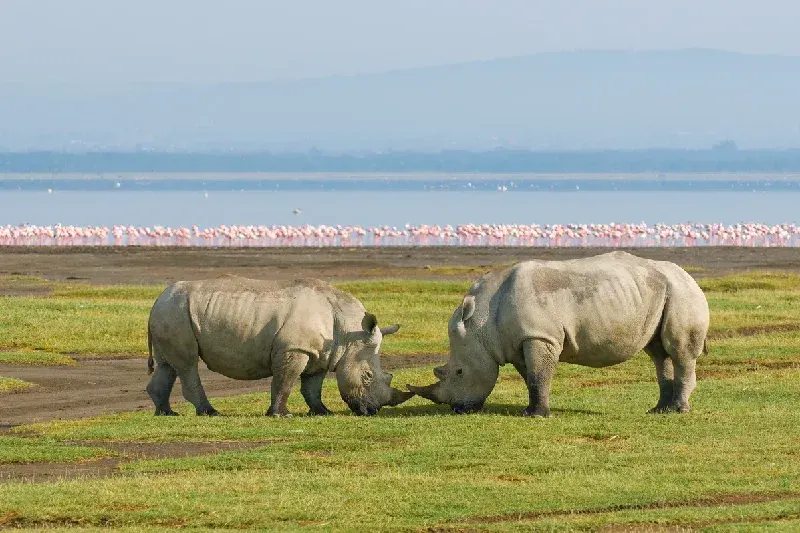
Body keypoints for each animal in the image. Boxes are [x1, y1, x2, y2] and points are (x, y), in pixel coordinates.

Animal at [146, 275, 413, 417]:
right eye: (368, 376)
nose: (373, 410)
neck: (348, 333)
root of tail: (157, 299)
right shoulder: (294, 349)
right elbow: (285, 382)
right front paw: (281, 415)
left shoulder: (320, 353)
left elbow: (312, 387)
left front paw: (322, 412)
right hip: (175, 312)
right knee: (187, 364)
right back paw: (210, 413)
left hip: (171, 312)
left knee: (167, 365)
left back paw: (166, 413)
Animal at [408, 251, 710, 416]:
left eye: (459, 372)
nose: (457, 409)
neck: (482, 322)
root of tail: (689, 276)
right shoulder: (520, 341)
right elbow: (531, 377)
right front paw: (530, 410)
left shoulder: (540, 335)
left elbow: (539, 375)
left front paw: (537, 416)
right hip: (661, 293)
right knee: (659, 352)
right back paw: (659, 410)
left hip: (683, 292)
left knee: (679, 351)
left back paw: (679, 410)